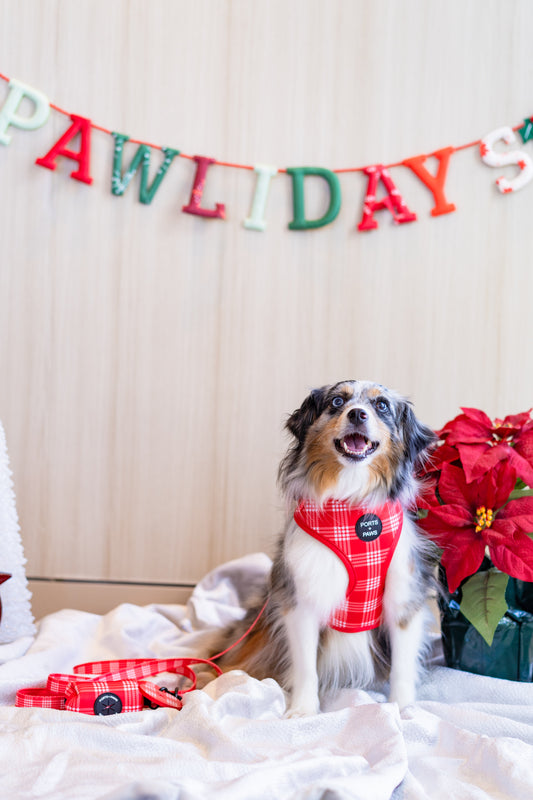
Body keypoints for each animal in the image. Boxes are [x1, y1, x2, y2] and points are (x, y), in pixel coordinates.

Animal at [211, 380, 437, 716]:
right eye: (337, 402)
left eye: (381, 405)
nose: (357, 414)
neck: (352, 506)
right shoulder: (301, 596)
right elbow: (306, 666)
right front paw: (304, 710)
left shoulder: (404, 593)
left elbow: (403, 664)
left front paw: (403, 707)